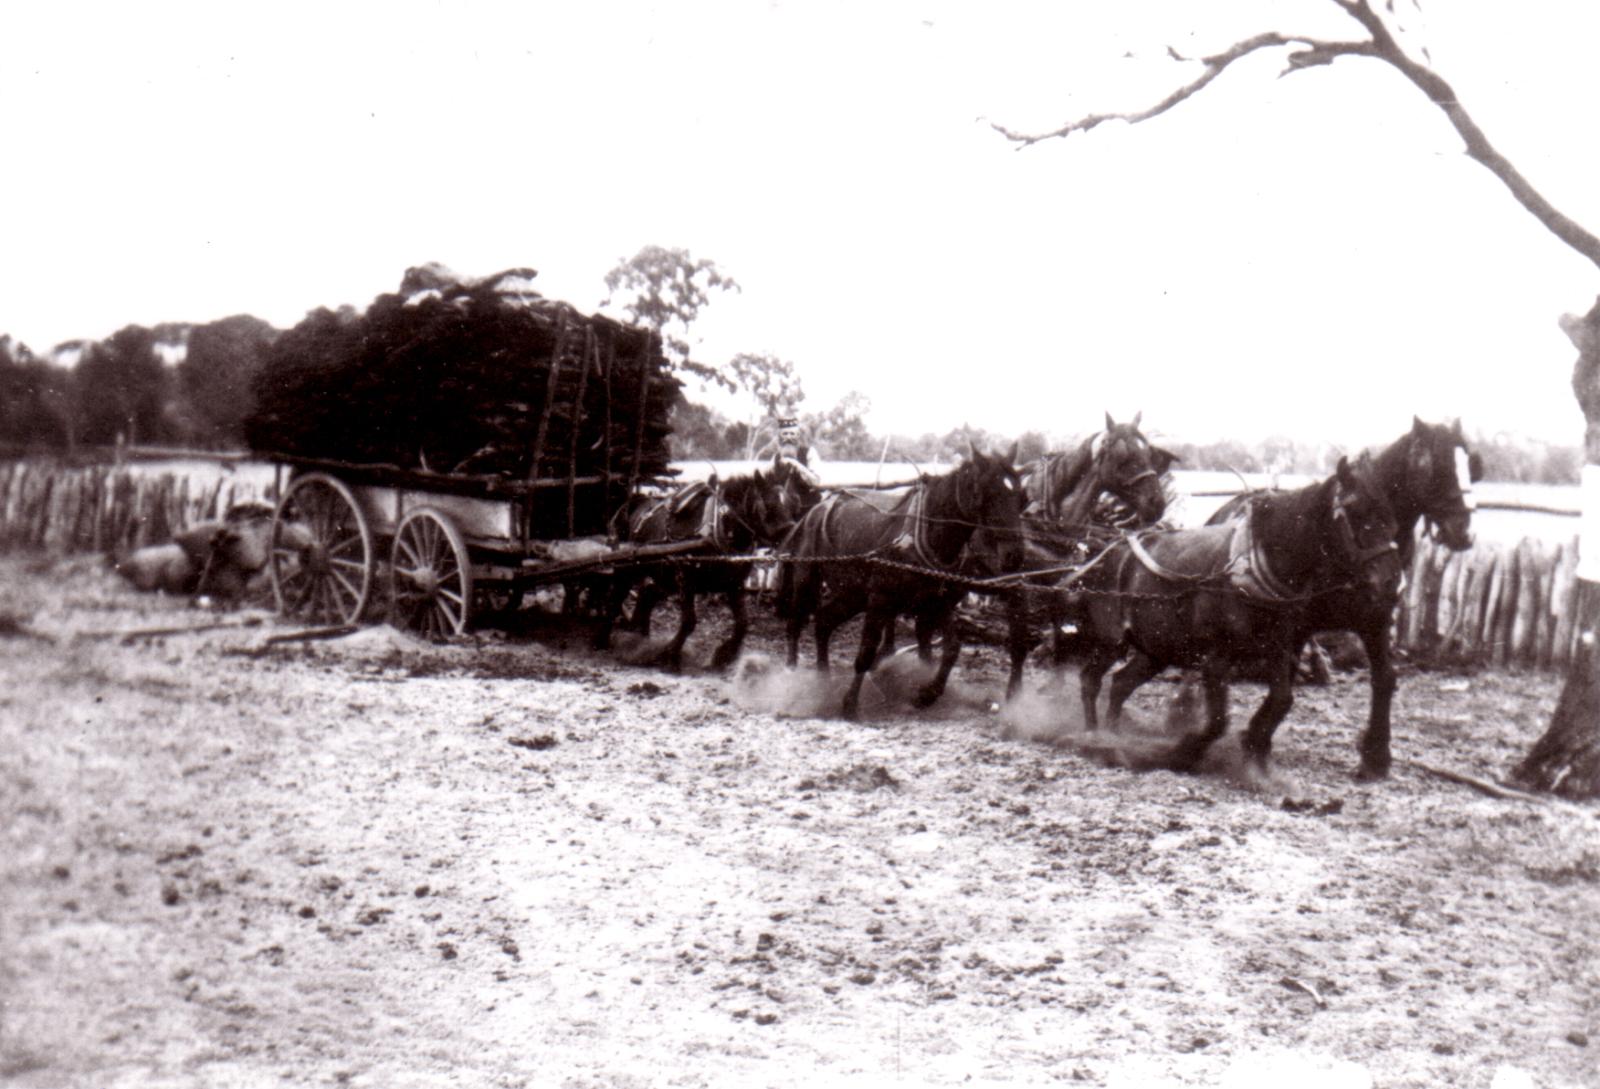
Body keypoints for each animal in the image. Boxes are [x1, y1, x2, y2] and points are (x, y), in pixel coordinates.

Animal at [592, 463, 800, 671]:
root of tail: (634, 502)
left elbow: (743, 623)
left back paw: (640, 638)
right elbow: (688, 622)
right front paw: (670, 656)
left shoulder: (734, 585)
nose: (790, 533)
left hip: (664, 576)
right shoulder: (685, 580)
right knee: (614, 601)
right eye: (767, 504)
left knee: (647, 595)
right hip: (627, 571)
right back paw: (602, 640)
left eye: (792, 504)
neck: (720, 527)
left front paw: (723, 655)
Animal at [777, 444, 1024, 716]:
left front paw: (927, 694)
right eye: (988, 493)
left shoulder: (937, 602)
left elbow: (951, 648)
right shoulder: (880, 599)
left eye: (1020, 497)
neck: (924, 537)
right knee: (795, 624)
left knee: (823, 622)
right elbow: (867, 651)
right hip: (807, 580)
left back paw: (823, 681)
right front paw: (850, 702)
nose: (1015, 555)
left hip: (852, 593)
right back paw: (791, 676)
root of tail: (814, 511)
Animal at [1075, 454, 1401, 777]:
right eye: (1356, 511)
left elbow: (1282, 699)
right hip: (1112, 640)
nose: (1391, 581)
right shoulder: (1216, 659)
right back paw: (1094, 738)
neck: (1255, 565)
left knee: (1120, 684)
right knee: (1090, 679)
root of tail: (1109, 551)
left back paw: (1114, 735)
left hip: (1156, 650)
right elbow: (1218, 720)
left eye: (1390, 514)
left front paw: (1255, 756)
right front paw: (1185, 752)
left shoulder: (1280, 648)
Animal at [1203, 412, 1478, 777]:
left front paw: (1376, 754)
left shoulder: (1375, 617)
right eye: (1436, 467)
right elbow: (1283, 690)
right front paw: (1254, 739)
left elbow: (1385, 679)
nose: (1464, 532)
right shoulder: (1294, 624)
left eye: (1470, 464)